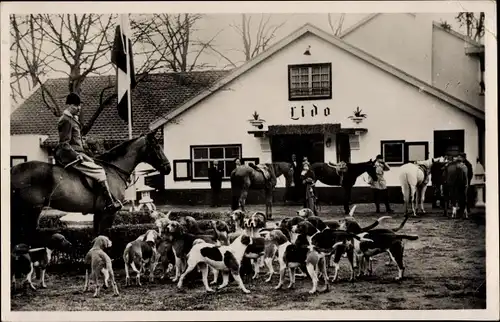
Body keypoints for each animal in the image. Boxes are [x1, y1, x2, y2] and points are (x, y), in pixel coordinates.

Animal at [10, 130, 171, 245]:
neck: (113, 169)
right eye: (157, 146)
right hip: (31, 210)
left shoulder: (98, 213)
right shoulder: (108, 213)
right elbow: (103, 236)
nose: (168, 168)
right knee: (27, 235)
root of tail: (14, 170)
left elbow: (96, 237)